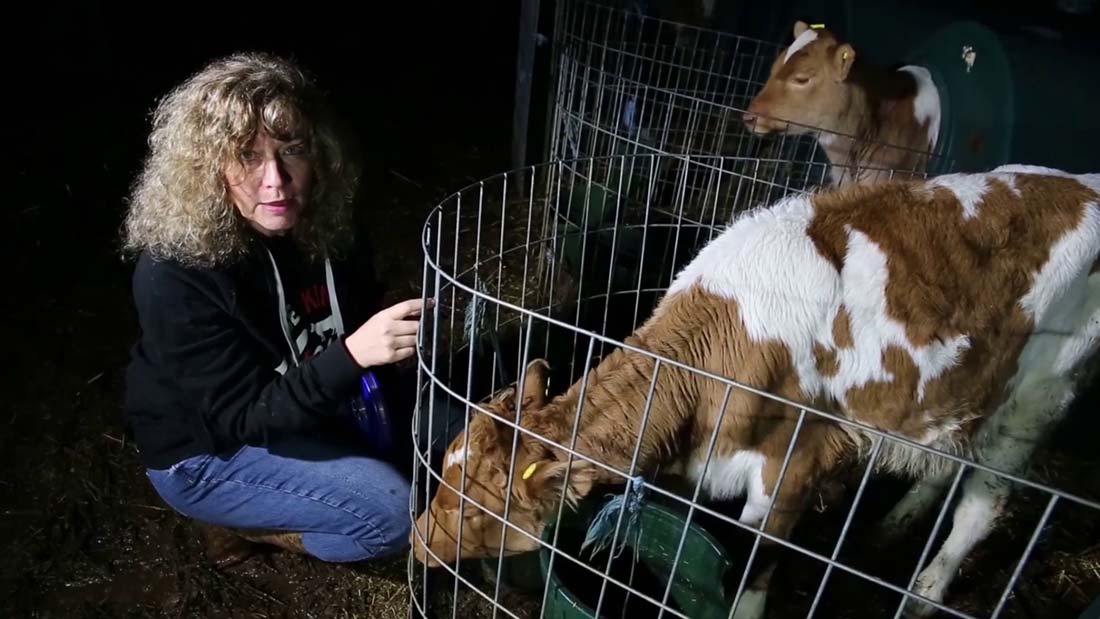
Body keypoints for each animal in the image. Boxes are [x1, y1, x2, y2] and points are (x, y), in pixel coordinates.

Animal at [413, 166, 1100, 619]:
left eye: (475, 510)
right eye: (443, 471)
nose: (418, 541)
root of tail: (1085, 182)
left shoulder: (794, 467)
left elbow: (752, 570)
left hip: (1042, 394)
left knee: (983, 504)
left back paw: (924, 594)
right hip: (962, 396)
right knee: (945, 461)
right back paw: (895, 525)